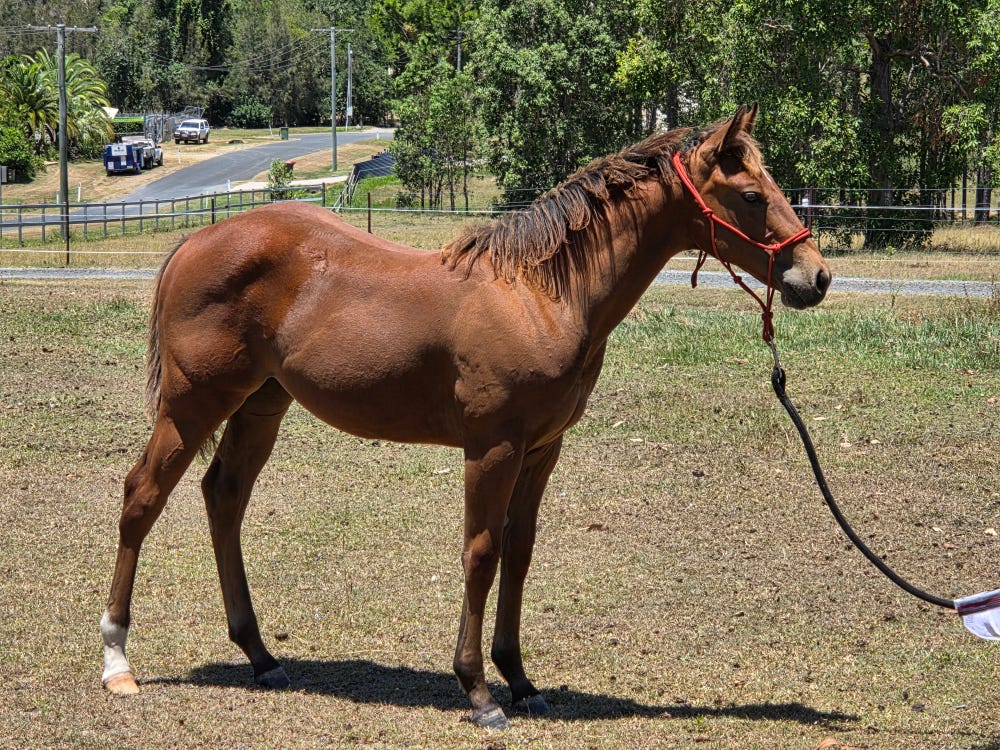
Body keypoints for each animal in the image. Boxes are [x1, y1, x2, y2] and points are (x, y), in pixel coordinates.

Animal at [100, 105, 831, 729]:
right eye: (751, 195)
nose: (815, 276)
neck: (542, 295)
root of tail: (196, 241)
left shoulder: (542, 450)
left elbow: (520, 550)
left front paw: (522, 680)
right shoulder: (492, 447)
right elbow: (481, 553)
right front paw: (479, 691)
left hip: (261, 406)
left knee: (224, 497)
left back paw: (260, 656)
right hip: (193, 405)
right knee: (142, 496)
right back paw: (117, 661)